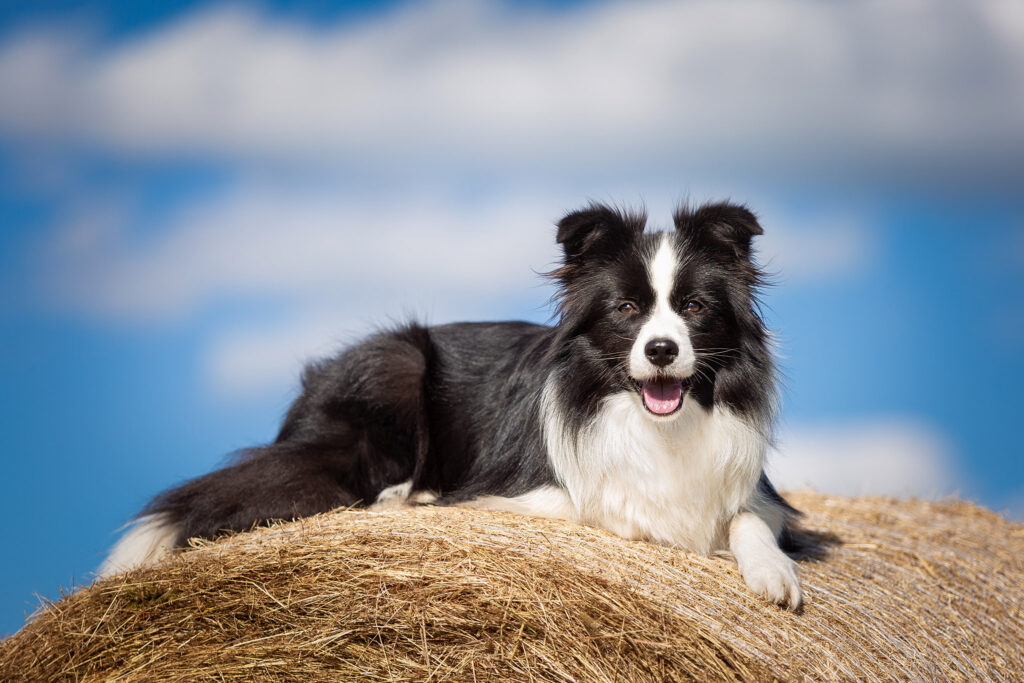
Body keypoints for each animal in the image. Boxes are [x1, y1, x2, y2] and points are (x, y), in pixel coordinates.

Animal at [105, 201, 806, 610]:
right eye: (627, 309)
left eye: (694, 307)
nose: (661, 350)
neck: (657, 423)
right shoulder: (519, 493)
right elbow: (622, 511)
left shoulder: (760, 496)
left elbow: (747, 519)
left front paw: (774, 575)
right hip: (397, 364)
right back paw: (404, 496)